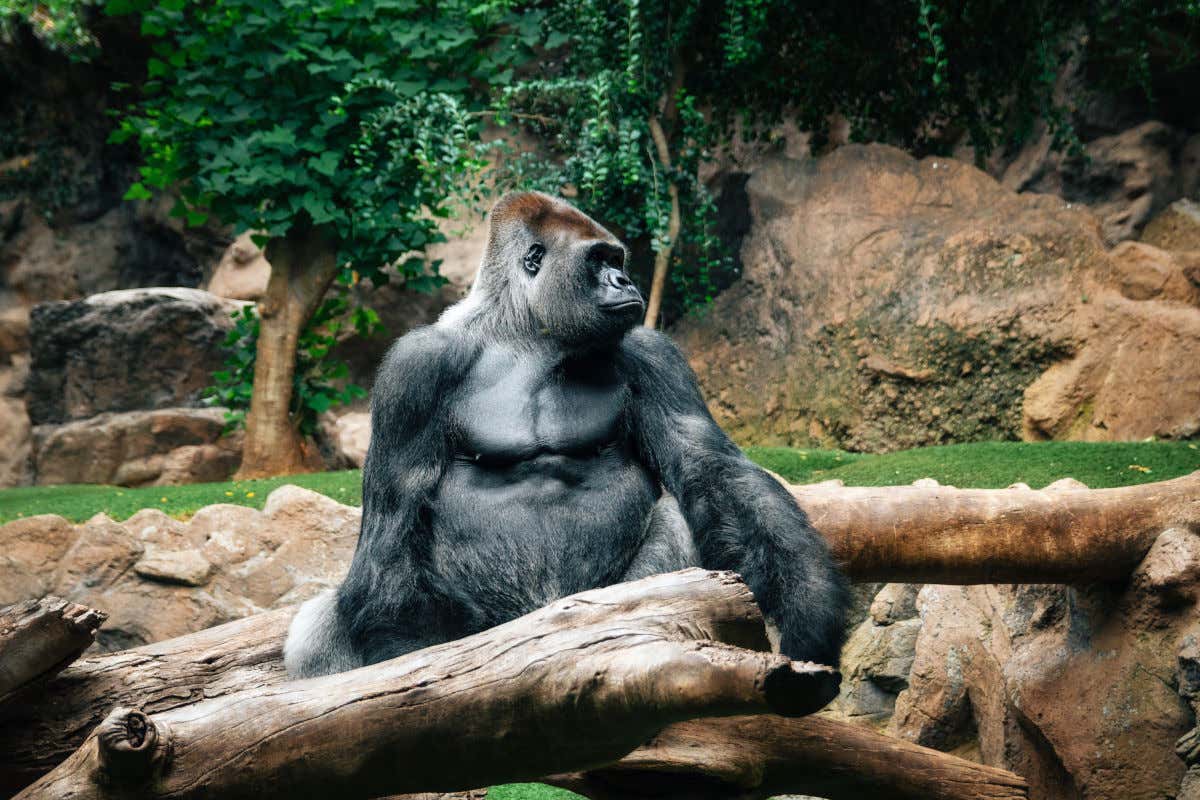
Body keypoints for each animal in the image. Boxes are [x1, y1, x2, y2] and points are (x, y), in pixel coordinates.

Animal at [284, 191, 849, 676]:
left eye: (617, 260)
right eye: (598, 261)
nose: (624, 282)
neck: (524, 331)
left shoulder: (650, 352)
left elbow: (711, 468)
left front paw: (809, 604)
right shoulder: (414, 368)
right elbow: (394, 523)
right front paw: (399, 654)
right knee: (322, 621)